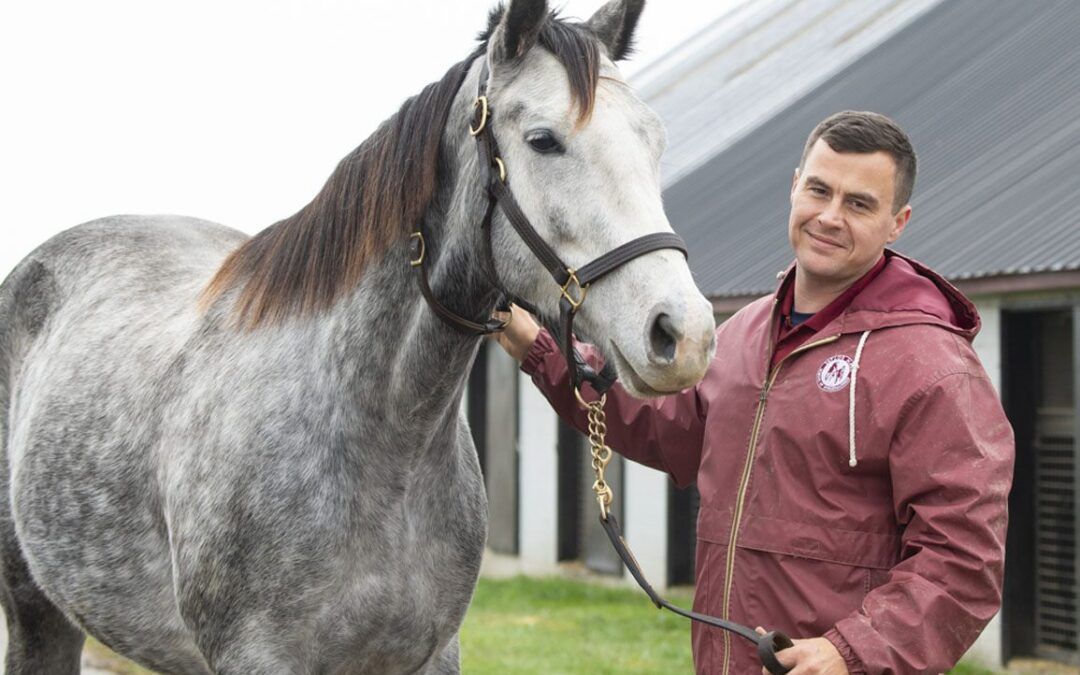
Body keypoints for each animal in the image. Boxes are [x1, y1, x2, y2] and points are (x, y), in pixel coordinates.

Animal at [0, 0, 716, 672]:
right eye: (543, 139)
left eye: (653, 140)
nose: (684, 335)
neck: (376, 438)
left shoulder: (432, 654)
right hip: (37, 615)